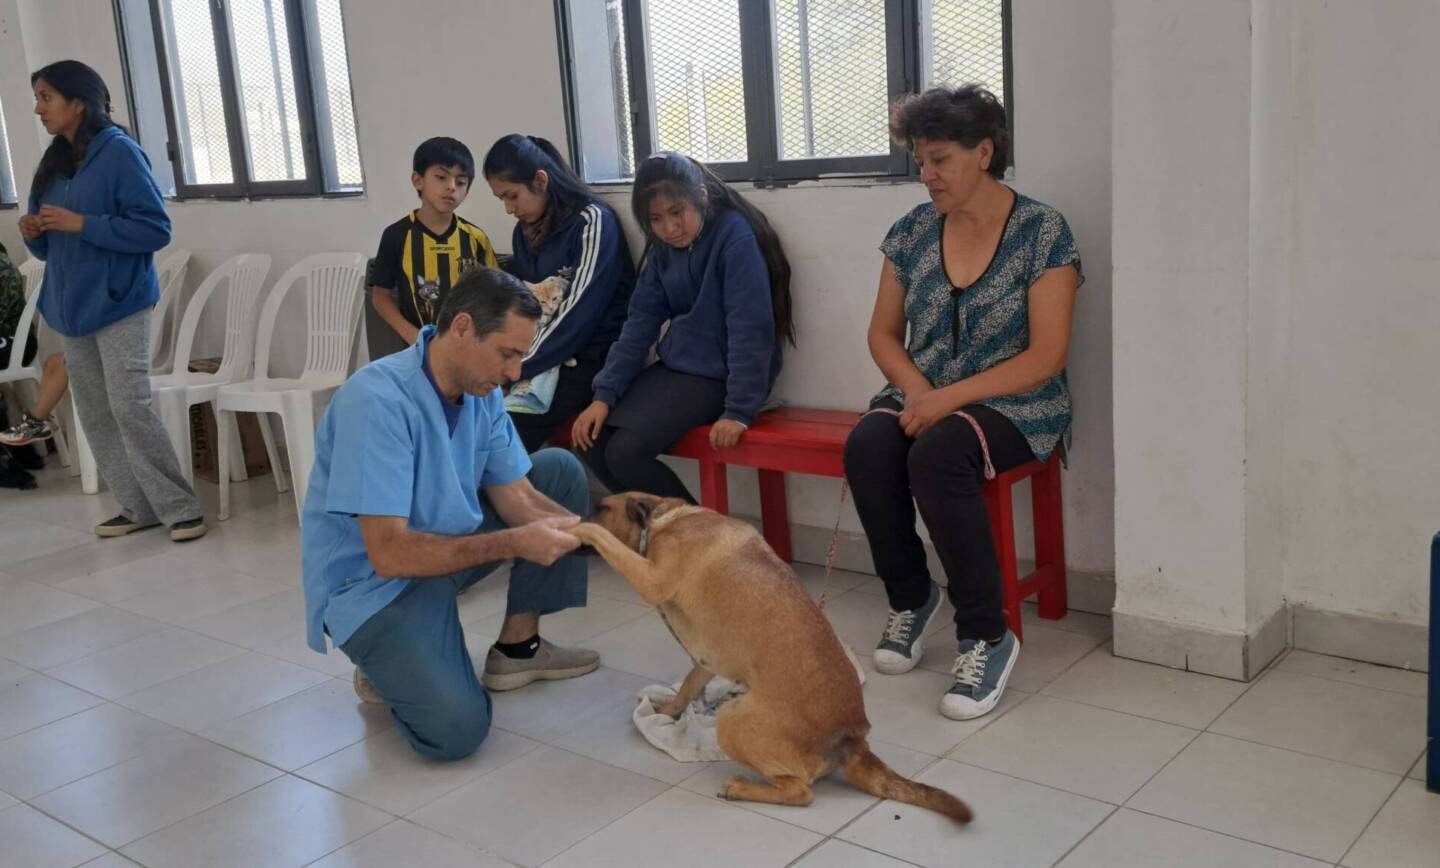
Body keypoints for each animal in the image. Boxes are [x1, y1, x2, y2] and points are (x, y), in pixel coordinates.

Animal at [567, 492, 973, 823]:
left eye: (600, 507)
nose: (578, 511)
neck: (664, 518)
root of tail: (851, 739)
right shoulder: (705, 660)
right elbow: (687, 686)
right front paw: (670, 711)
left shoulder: (650, 578)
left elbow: (605, 539)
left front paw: (580, 527)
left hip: (732, 719)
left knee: (800, 792)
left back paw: (743, 788)